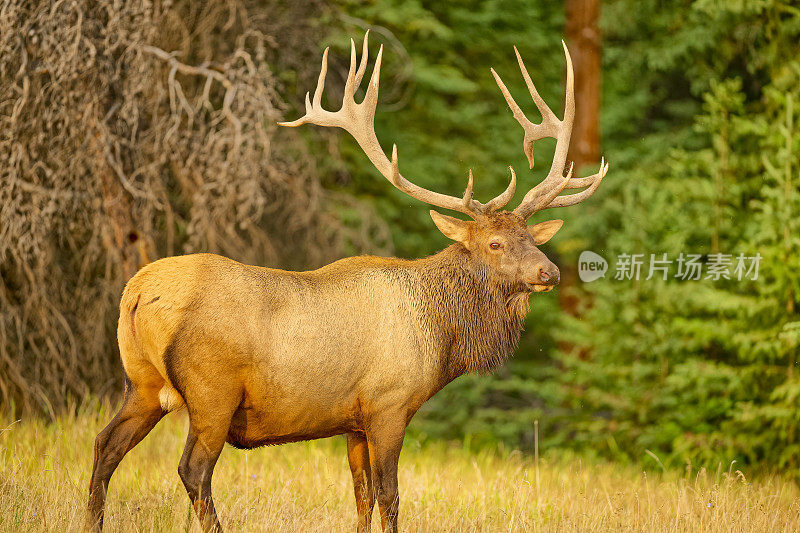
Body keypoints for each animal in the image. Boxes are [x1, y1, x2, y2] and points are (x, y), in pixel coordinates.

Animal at [86, 33, 608, 532]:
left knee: (104, 445)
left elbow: (362, 498)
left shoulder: (352, 422)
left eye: (530, 237)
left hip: (142, 383)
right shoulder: (388, 406)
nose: (549, 272)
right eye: (495, 243)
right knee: (193, 470)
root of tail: (137, 292)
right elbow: (390, 497)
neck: (442, 337)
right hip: (211, 392)